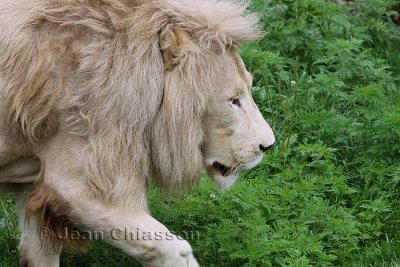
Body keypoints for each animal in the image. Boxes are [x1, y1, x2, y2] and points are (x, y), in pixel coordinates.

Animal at [0, 0, 276, 266]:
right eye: (233, 100)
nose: (268, 145)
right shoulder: (75, 186)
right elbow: (174, 251)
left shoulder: (35, 185)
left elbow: (39, 252)